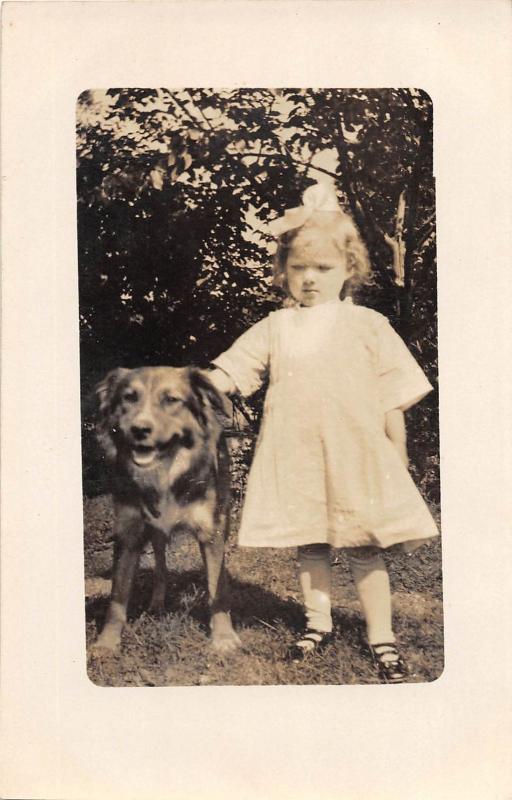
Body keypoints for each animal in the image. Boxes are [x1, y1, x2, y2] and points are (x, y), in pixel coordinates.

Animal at [91, 368, 240, 656]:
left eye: (171, 400)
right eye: (129, 397)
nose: (140, 429)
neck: (165, 471)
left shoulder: (211, 532)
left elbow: (217, 587)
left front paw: (224, 636)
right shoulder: (129, 533)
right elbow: (117, 596)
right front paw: (107, 641)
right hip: (156, 532)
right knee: (160, 567)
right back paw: (157, 602)